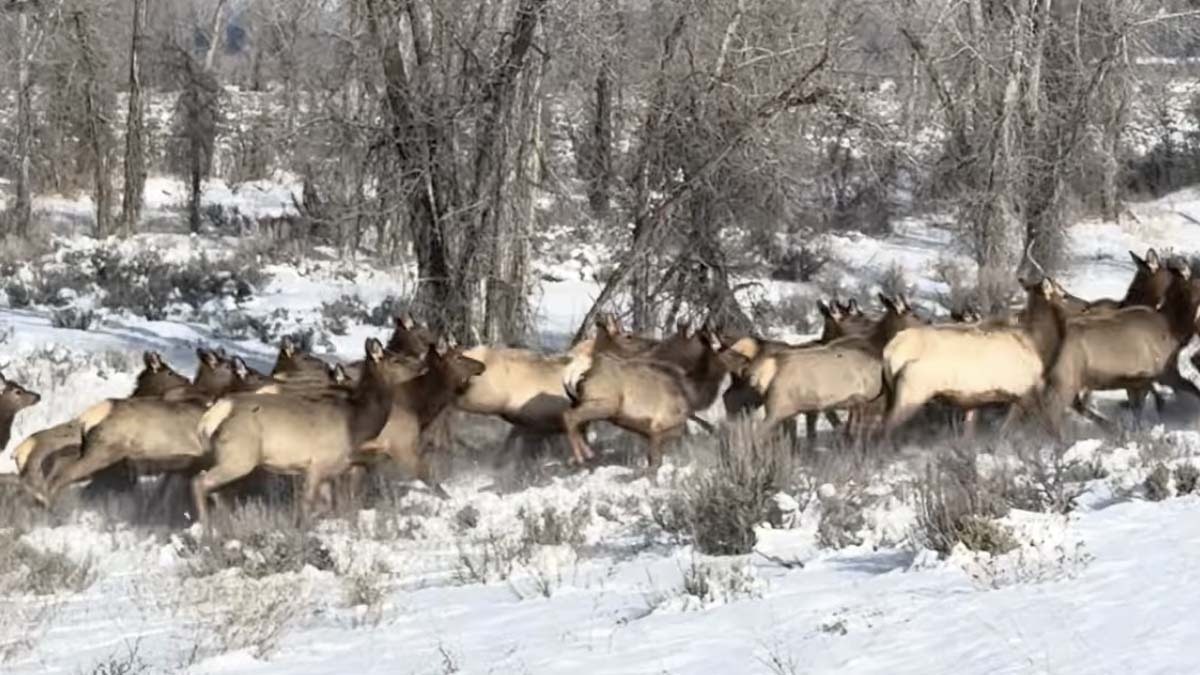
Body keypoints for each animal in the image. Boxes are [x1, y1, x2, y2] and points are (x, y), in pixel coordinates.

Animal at [191, 339, 436, 527]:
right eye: (397, 359)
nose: (423, 364)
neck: (356, 421)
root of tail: (211, 417)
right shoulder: (319, 463)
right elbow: (308, 504)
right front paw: (300, 528)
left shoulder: (329, 469)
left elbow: (328, 505)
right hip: (240, 457)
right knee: (200, 482)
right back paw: (207, 531)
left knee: (213, 488)